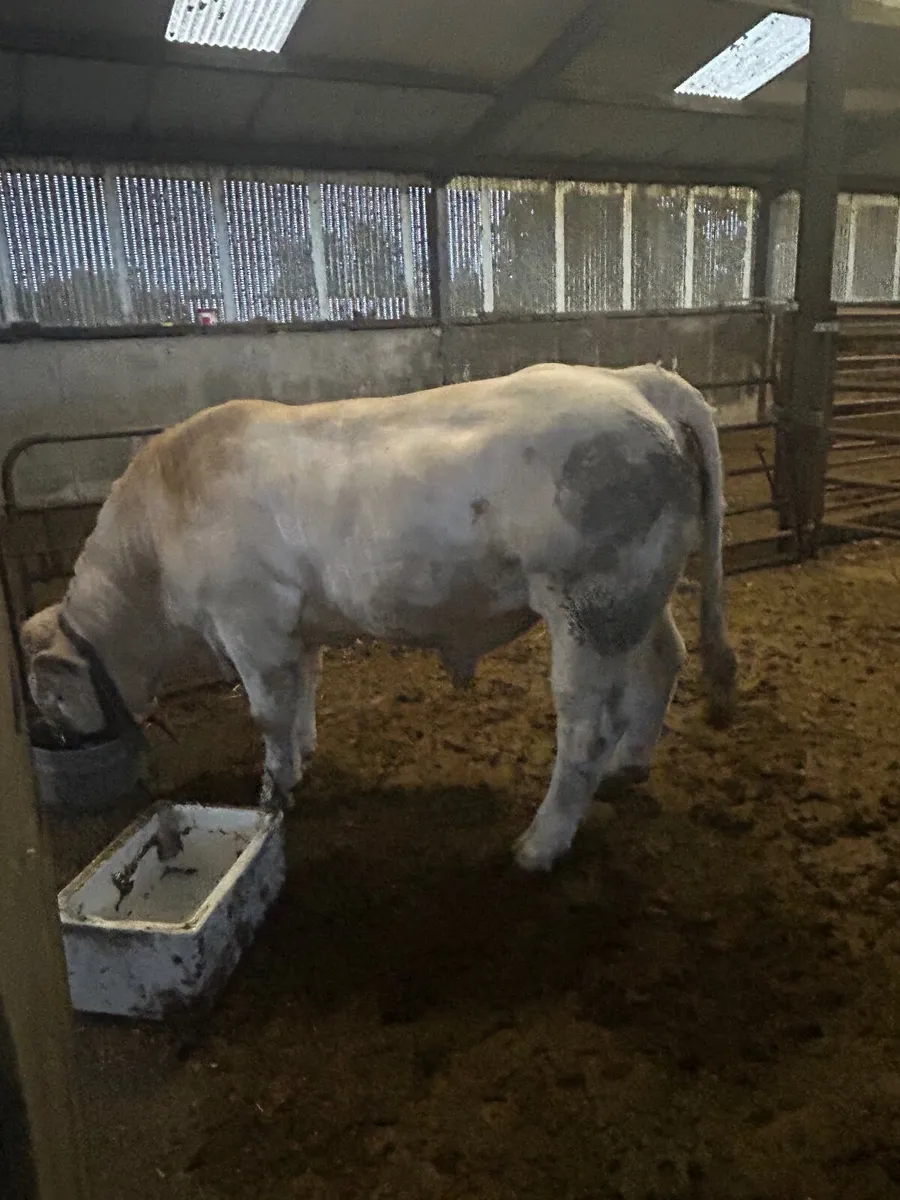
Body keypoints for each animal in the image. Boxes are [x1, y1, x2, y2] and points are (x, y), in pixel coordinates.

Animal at [21, 362, 736, 871]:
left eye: (49, 699)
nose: (54, 740)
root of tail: (635, 379)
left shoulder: (249, 620)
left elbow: (268, 713)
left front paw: (274, 792)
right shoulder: (294, 629)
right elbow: (303, 691)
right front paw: (304, 752)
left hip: (590, 602)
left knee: (587, 728)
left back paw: (541, 844)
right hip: (636, 594)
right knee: (662, 661)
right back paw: (629, 767)